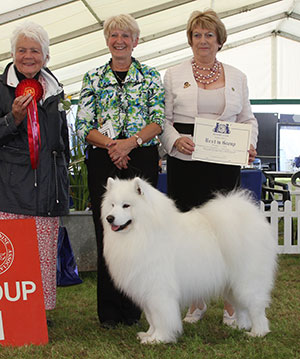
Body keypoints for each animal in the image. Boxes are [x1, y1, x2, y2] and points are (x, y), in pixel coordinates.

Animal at [102, 178, 278, 346]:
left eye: (126, 205)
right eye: (112, 205)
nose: (109, 218)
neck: (143, 232)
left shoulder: (159, 290)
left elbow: (161, 318)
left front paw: (158, 339)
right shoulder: (146, 289)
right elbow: (152, 318)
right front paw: (148, 335)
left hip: (247, 282)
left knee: (256, 308)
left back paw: (257, 333)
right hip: (232, 286)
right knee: (241, 308)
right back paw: (240, 327)